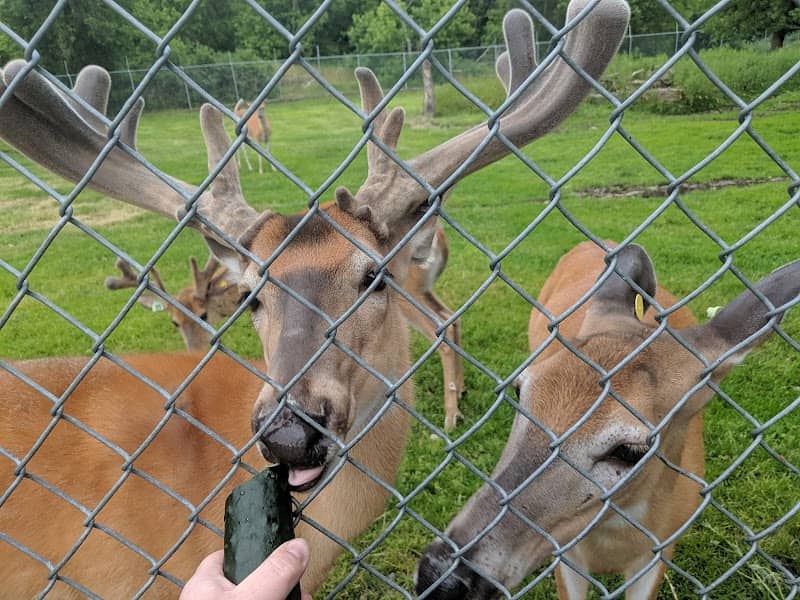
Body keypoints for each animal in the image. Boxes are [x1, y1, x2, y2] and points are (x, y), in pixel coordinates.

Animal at [416, 240, 800, 599]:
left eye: (630, 451)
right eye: (519, 391)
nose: (439, 577)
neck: (616, 539)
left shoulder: (658, 553)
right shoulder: (566, 555)